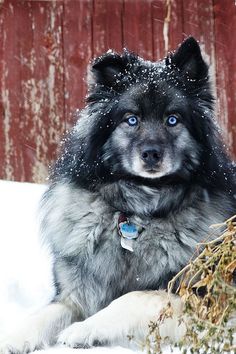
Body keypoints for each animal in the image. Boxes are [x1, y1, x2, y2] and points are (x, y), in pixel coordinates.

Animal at [0, 37, 235, 352]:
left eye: (173, 119)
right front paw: (12, 337)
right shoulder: (74, 294)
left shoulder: (205, 301)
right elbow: (43, 314)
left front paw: (84, 329)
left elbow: (135, 296)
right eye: (131, 120)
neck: (137, 214)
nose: (151, 154)